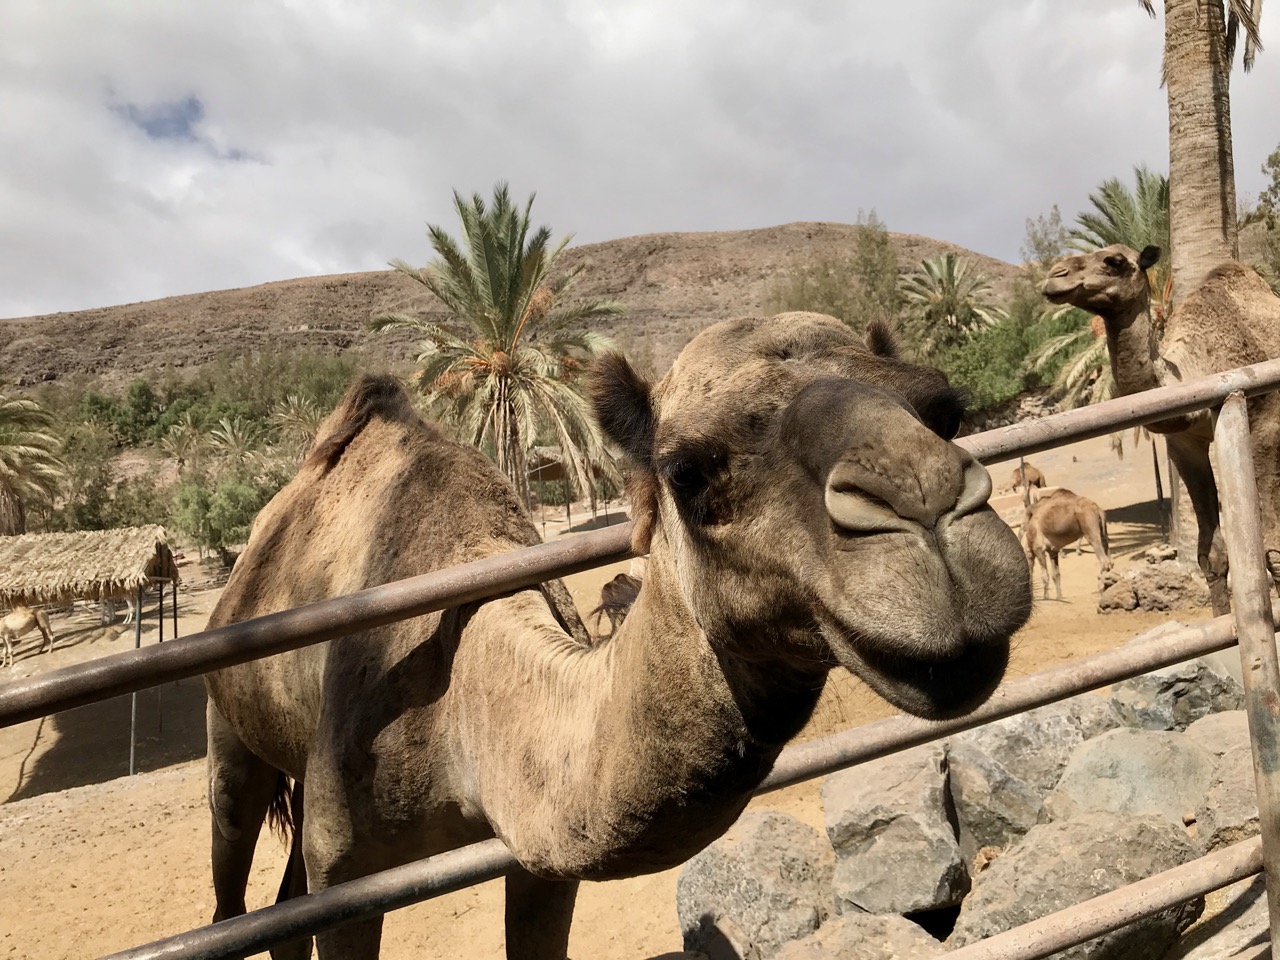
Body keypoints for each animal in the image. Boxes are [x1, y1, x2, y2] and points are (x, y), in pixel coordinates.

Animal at [202, 313, 1032, 959]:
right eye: (687, 469)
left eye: (945, 408)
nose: (929, 517)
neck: (456, 715)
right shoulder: (344, 865)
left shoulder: (535, 855)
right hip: (229, 734)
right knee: (233, 888)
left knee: (279, 910)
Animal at [1043, 245, 1280, 615]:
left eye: (1114, 262)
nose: (1055, 276)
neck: (1198, 366)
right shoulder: (1184, 445)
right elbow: (1212, 553)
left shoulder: (1264, 427)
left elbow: (1273, 548)